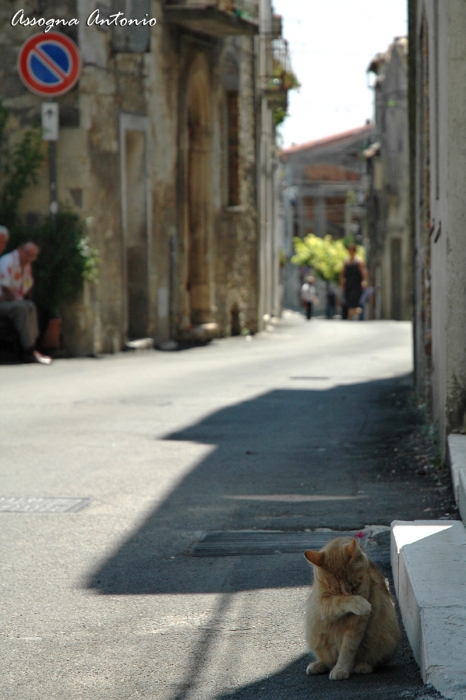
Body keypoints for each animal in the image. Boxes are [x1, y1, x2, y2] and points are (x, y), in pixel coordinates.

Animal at [304, 536, 398, 680]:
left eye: (354, 585)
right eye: (337, 589)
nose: (348, 593)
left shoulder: (357, 622)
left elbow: (348, 647)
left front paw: (341, 668)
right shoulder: (321, 604)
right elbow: (338, 601)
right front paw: (358, 602)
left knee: (375, 661)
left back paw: (364, 666)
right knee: (329, 661)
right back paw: (318, 665)